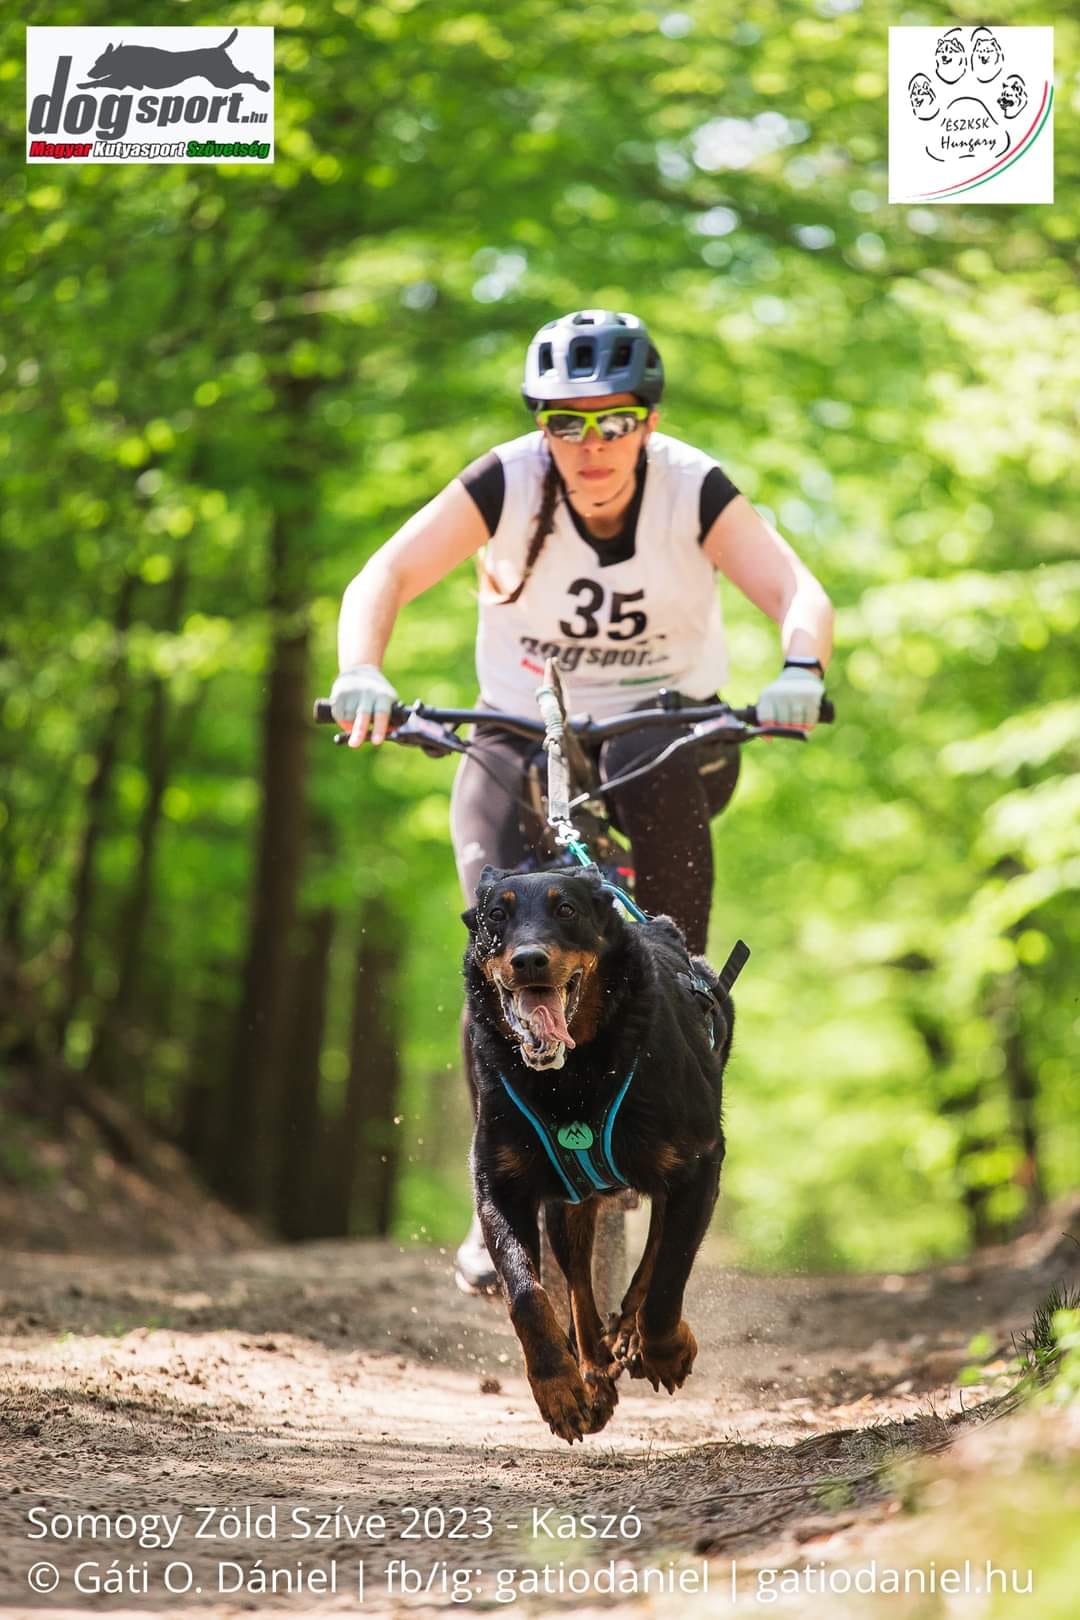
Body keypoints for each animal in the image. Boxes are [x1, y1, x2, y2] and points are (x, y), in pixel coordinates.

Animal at [459, 861, 748, 1445]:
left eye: (566, 909)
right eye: (495, 915)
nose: (528, 959)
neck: (573, 1075)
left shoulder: (699, 1165)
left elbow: (668, 1275)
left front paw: (665, 1348)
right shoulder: (500, 1183)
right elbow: (528, 1294)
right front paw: (558, 1387)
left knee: (654, 1253)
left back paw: (629, 1339)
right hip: (571, 1201)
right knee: (577, 1287)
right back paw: (592, 1372)